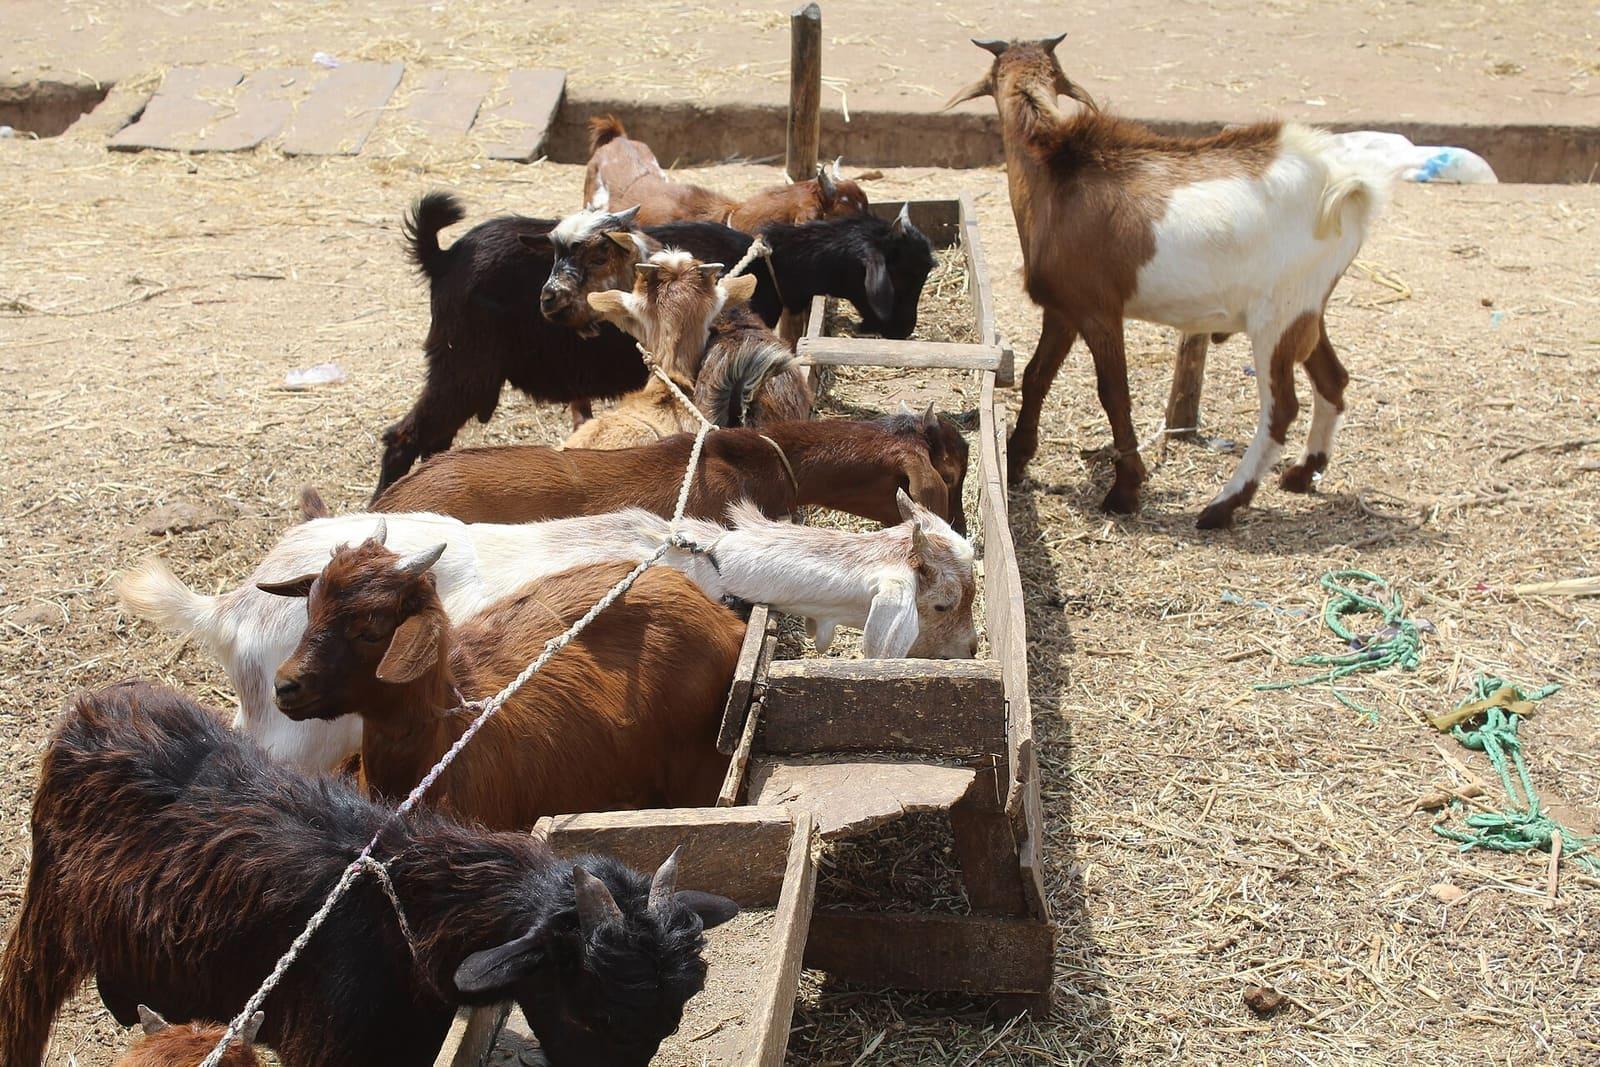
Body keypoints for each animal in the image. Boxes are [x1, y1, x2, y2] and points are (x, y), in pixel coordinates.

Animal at [376, 194, 933, 496]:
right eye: (904, 273)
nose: (903, 330)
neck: (773, 262)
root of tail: (443, 256)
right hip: (461, 366)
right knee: (403, 438)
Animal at [948, 36, 1393, 528]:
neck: (1055, 172)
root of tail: (1345, 187)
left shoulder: (1098, 311)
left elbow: (1113, 393)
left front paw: (1125, 490)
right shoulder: (1063, 308)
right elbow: (1035, 376)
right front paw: (1018, 457)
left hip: (1276, 321)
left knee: (1281, 410)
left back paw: (1222, 505)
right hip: (1306, 310)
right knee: (1333, 380)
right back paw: (1302, 473)